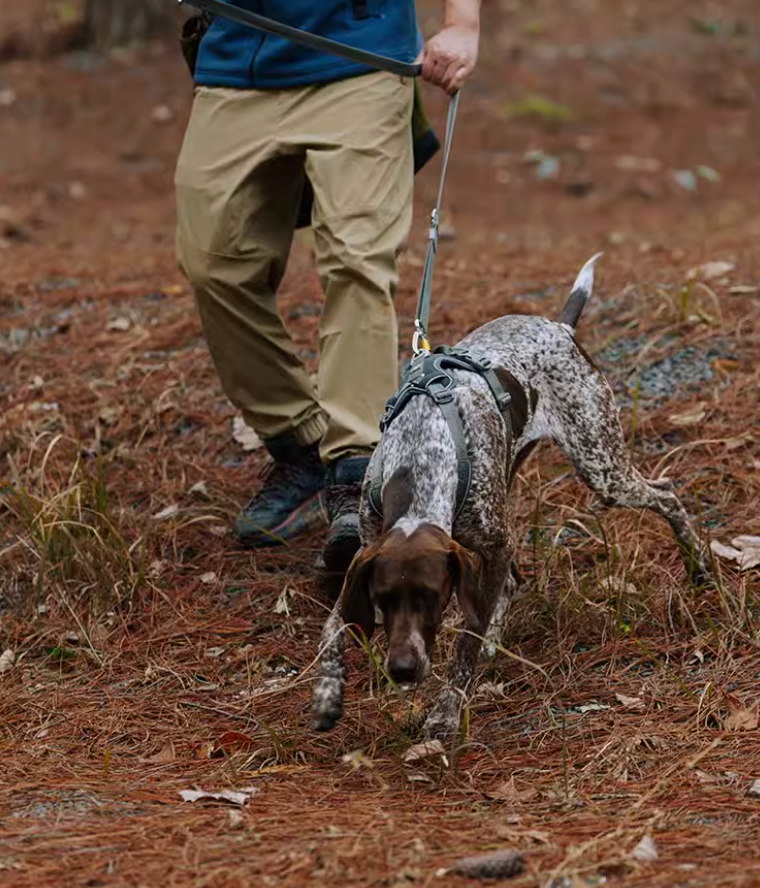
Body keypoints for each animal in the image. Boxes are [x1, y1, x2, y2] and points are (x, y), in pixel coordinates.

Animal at [308, 255, 712, 736]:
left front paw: (446, 712)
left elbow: (468, 634)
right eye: (382, 599)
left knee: (666, 494)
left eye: (432, 595)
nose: (403, 670)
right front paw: (328, 692)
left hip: (603, 468)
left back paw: (698, 566)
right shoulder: (369, 549)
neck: (421, 458)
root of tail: (560, 326)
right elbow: (332, 627)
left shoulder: (494, 546)